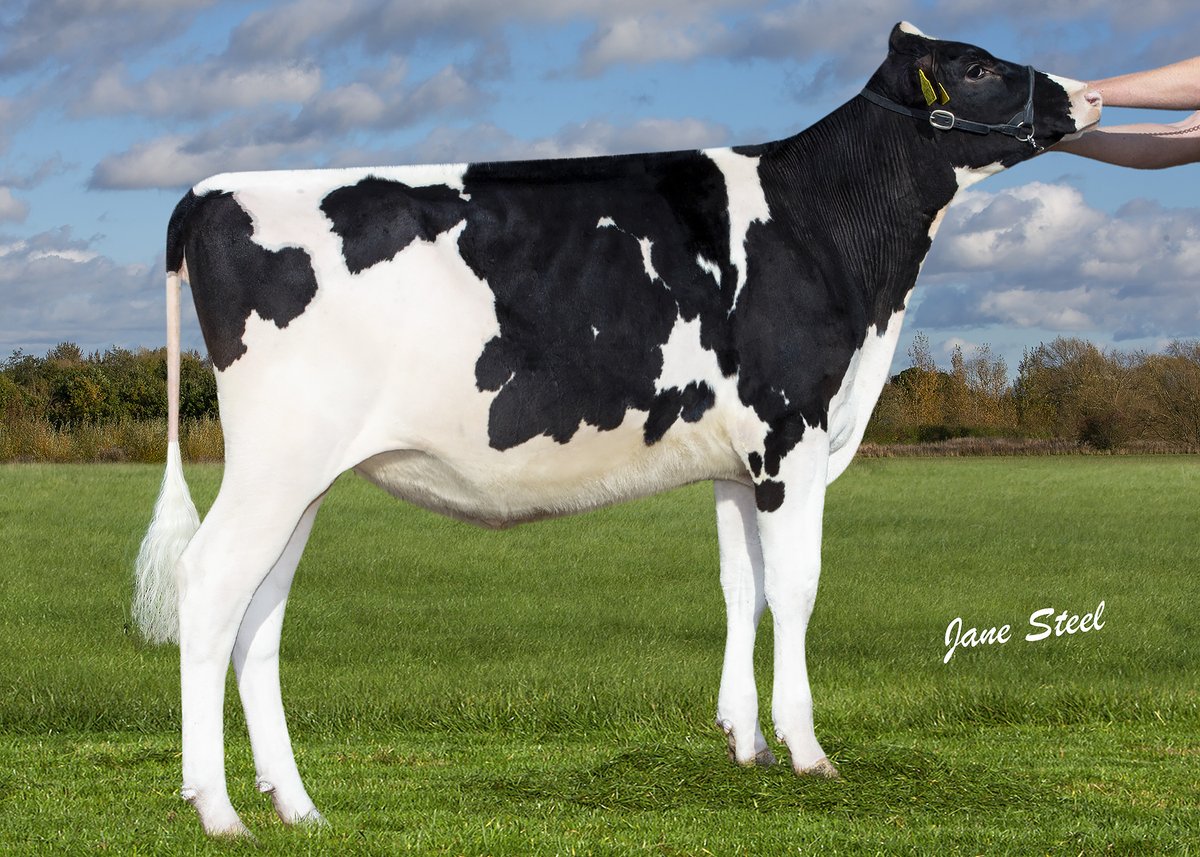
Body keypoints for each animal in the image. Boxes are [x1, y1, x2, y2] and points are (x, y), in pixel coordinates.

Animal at [133, 22, 1101, 836]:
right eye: (976, 67)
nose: (1089, 95)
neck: (823, 225)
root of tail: (213, 191)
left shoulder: (738, 461)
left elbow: (742, 588)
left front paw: (745, 742)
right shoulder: (790, 434)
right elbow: (796, 589)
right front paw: (808, 750)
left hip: (303, 476)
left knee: (258, 614)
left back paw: (296, 805)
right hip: (277, 461)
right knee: (210, 584)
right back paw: (216, 808)